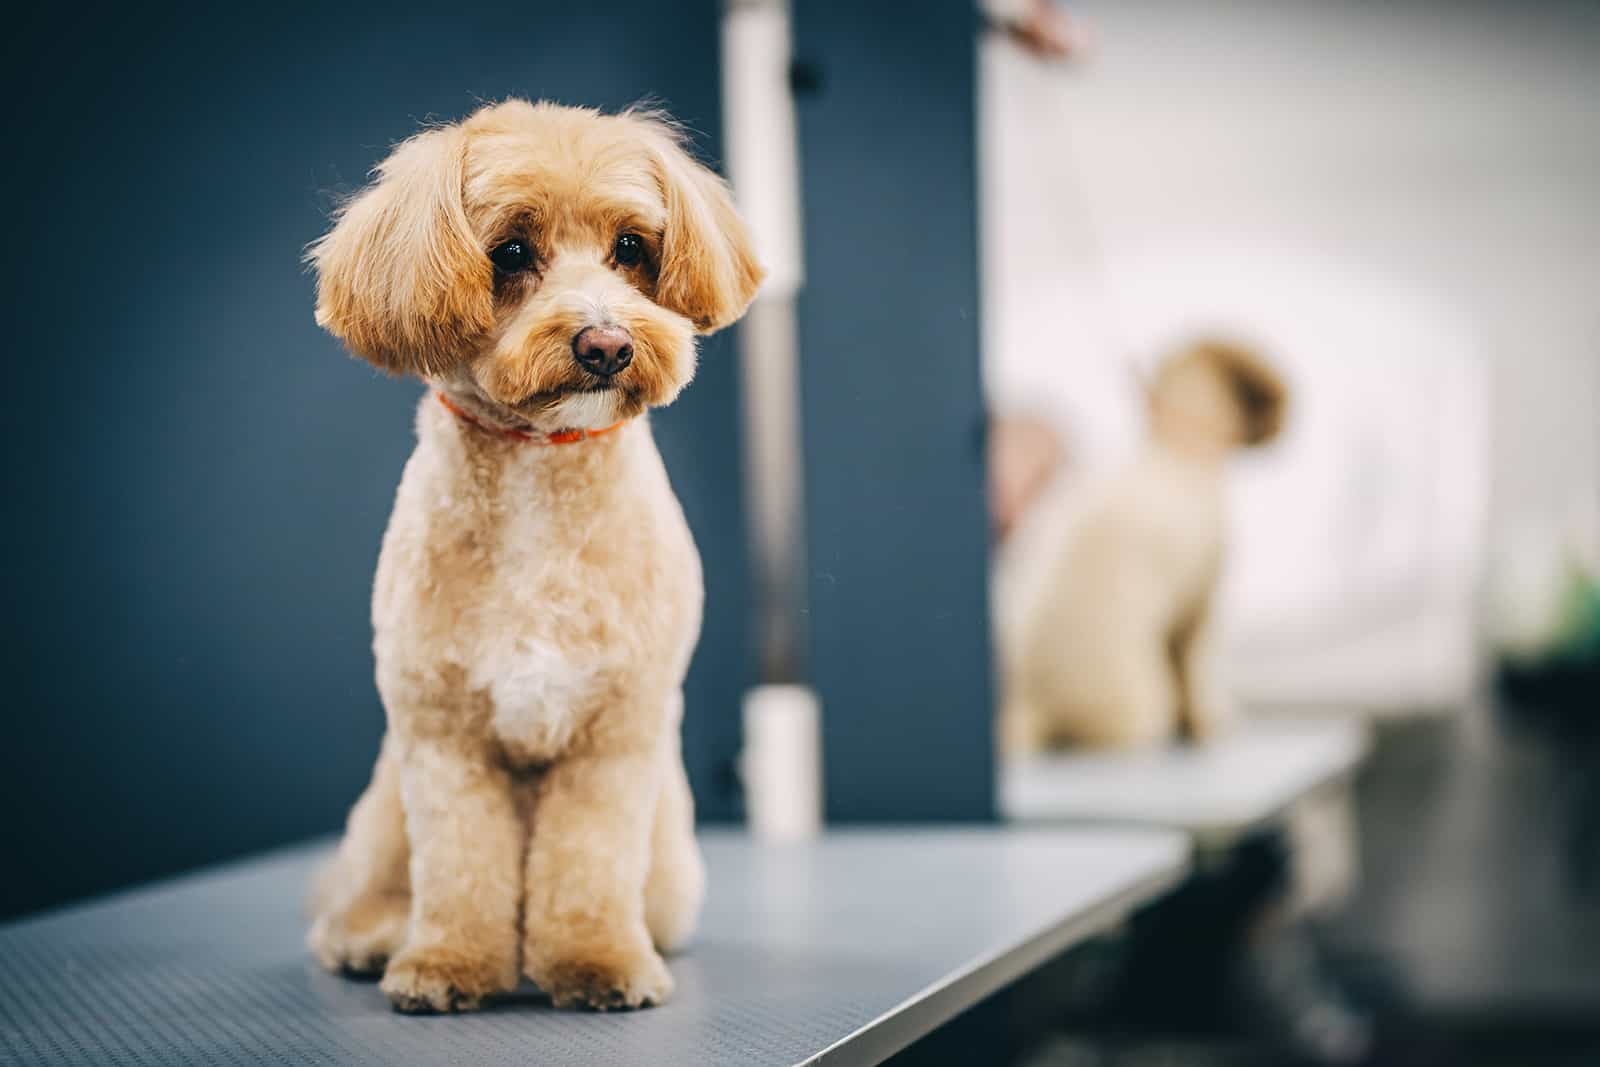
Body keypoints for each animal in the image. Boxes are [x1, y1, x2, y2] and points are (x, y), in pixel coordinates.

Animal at [307, 102, 768, 1017]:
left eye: (632, 246)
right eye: (512, 252)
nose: (607, 344)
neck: (537, 474)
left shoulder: (615, 734)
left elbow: (587, 863)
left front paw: (598, 962)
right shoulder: (442, 735)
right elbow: (459, 866)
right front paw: (444, 963)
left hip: (671, 855)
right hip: (382, 808)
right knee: (369, 886)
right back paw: (370, 934)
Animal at [998, 340, 1286, 751]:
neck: (1177, 447)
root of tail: (1034, 701)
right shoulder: (1200, 602)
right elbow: (1195, 671)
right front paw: (1209, 722)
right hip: (1144, 702)